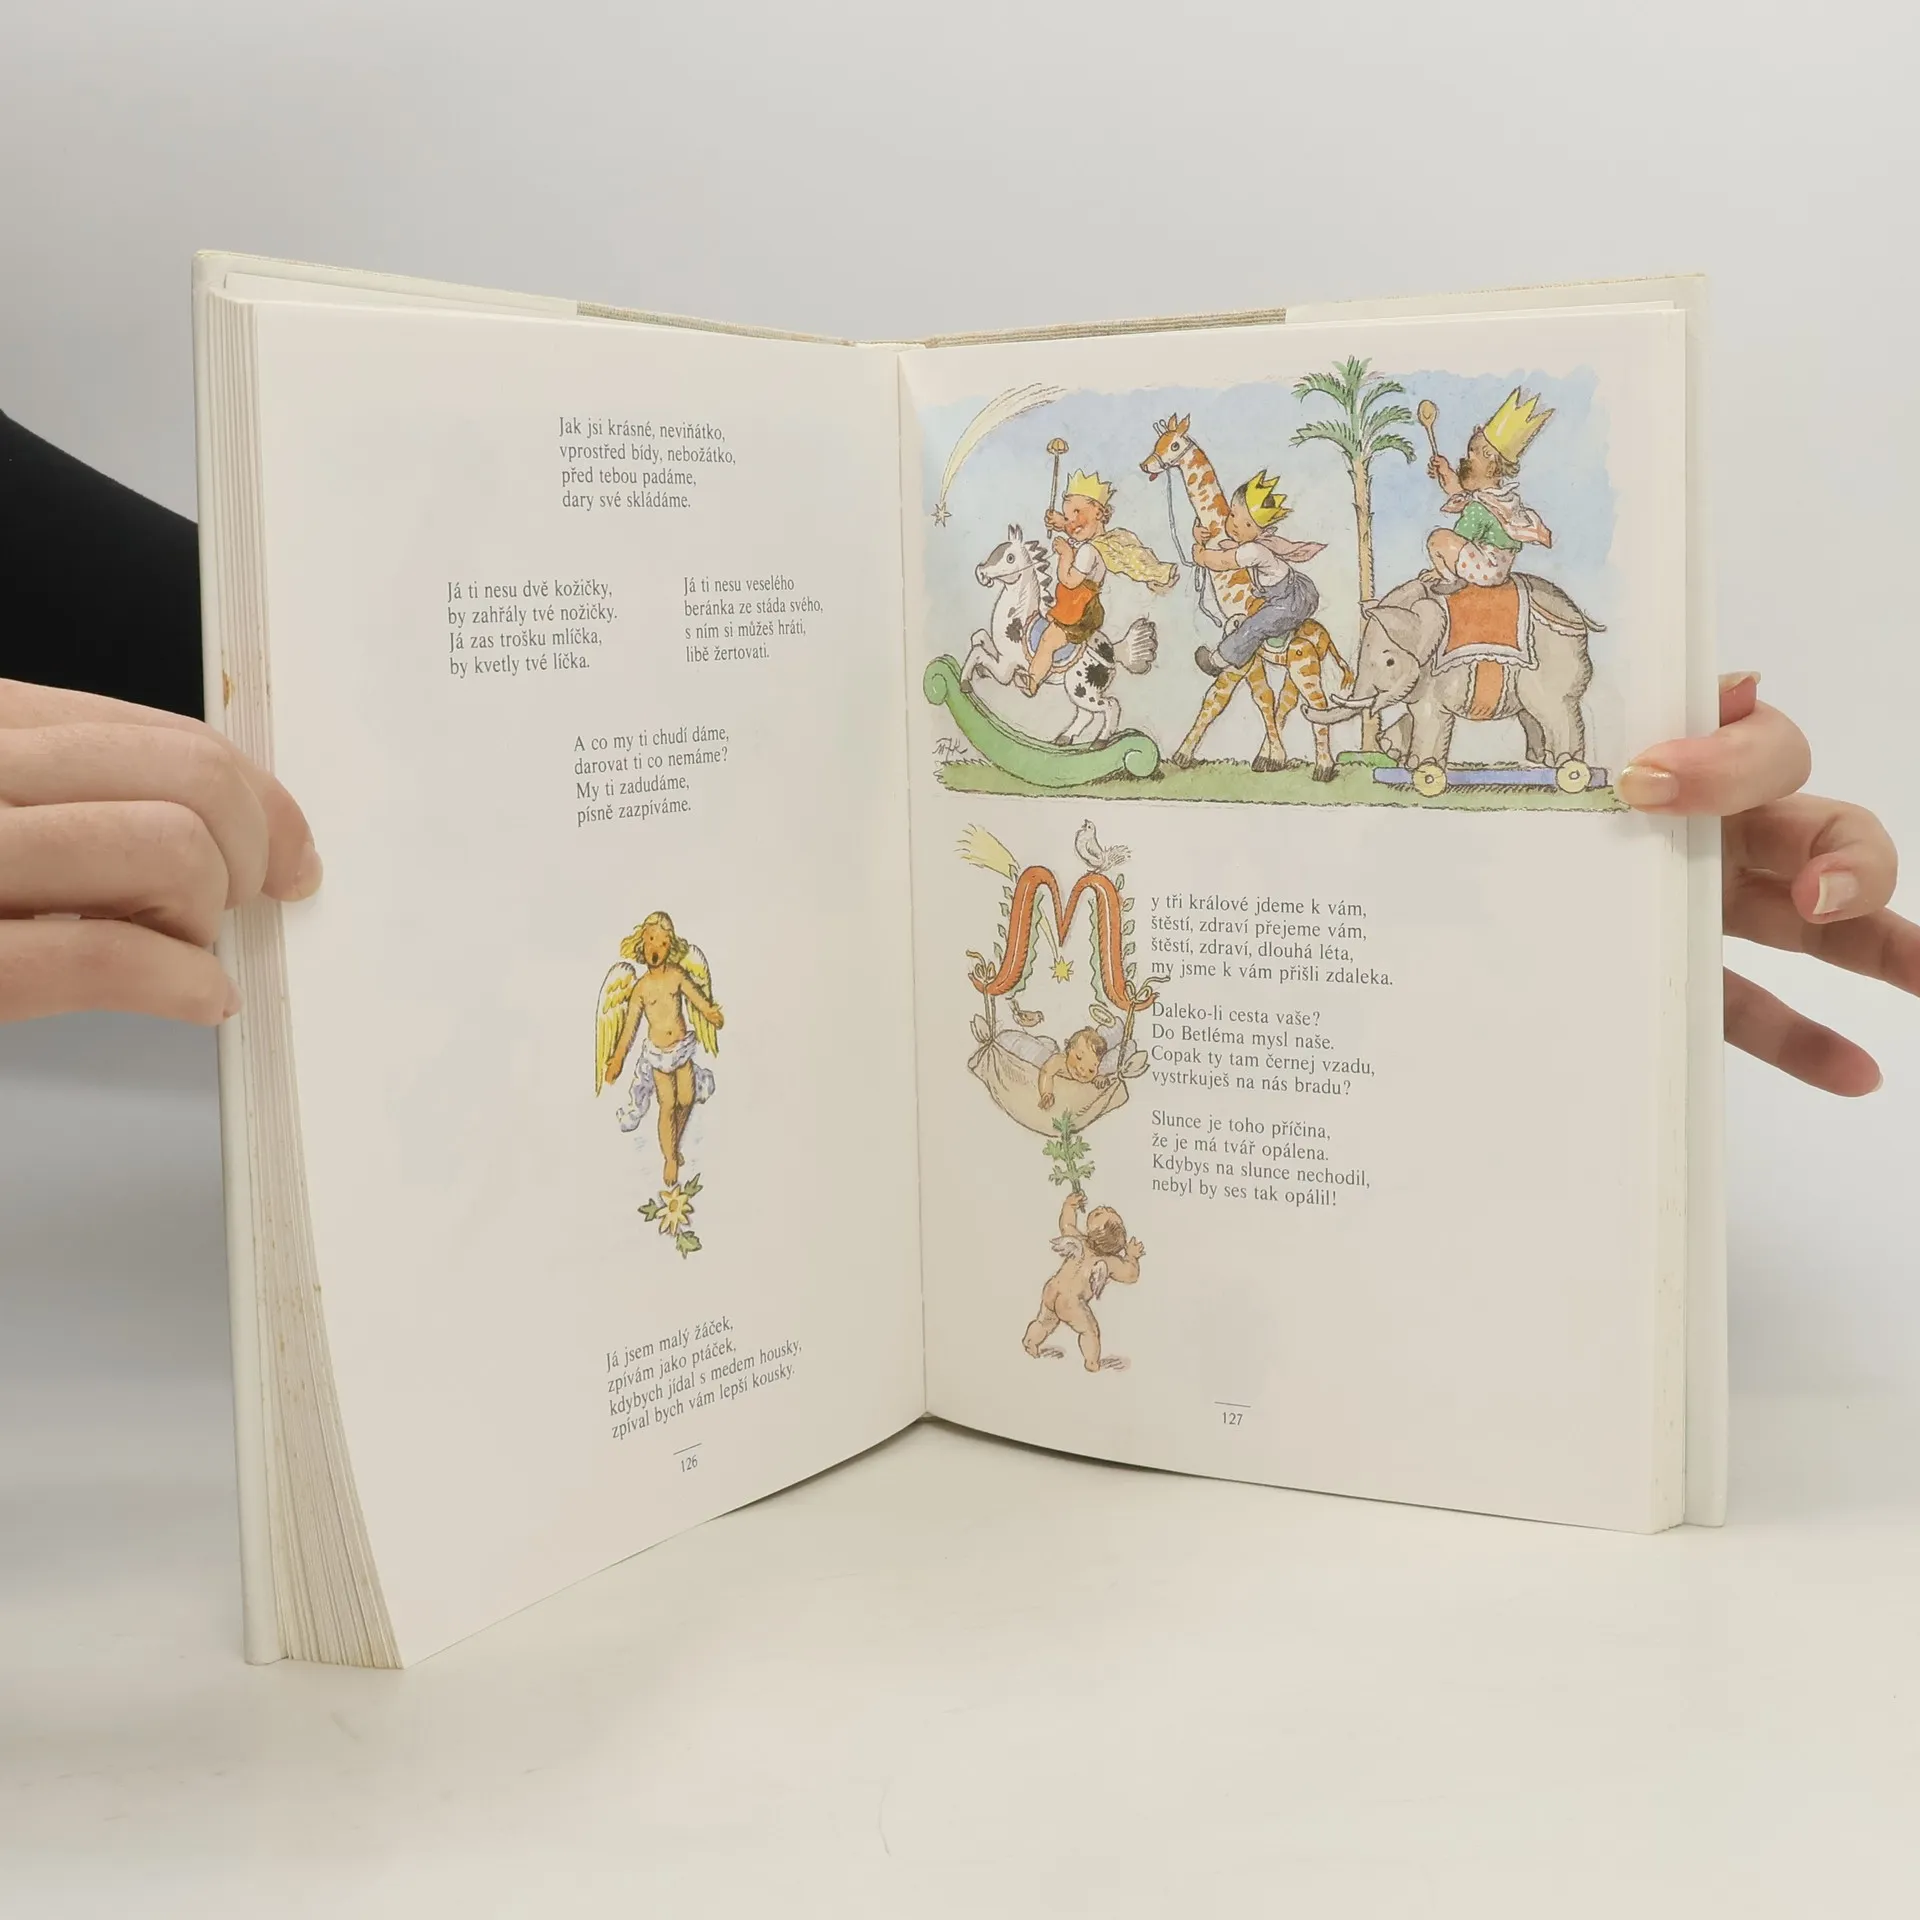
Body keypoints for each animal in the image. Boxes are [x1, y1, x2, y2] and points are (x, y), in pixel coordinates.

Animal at [960, 526, 1158, 748]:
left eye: (1010, 557)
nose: (981, 572)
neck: (1019, 621)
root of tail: (1116, 651)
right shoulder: (1001, 654)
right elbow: (979, 639)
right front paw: (980, 671)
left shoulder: (1006, 668)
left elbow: (979, 653)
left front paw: (965, 681)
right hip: (1078, 689)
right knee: (1085, 715)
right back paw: (1064, 738)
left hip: (1082, 689)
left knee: (1110, 705)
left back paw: (1100, 740)